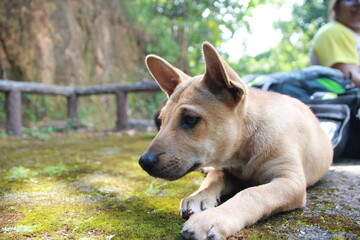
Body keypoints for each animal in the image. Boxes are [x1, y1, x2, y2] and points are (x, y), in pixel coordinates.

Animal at [139, 42, 332, 239]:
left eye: (190, 119)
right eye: (161, 121)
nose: (143, 162)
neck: (245, 147)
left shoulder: (290, 181)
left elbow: (252, 193)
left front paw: (213, 218)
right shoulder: (227, 170)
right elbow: (214, 178)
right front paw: (199, 196)